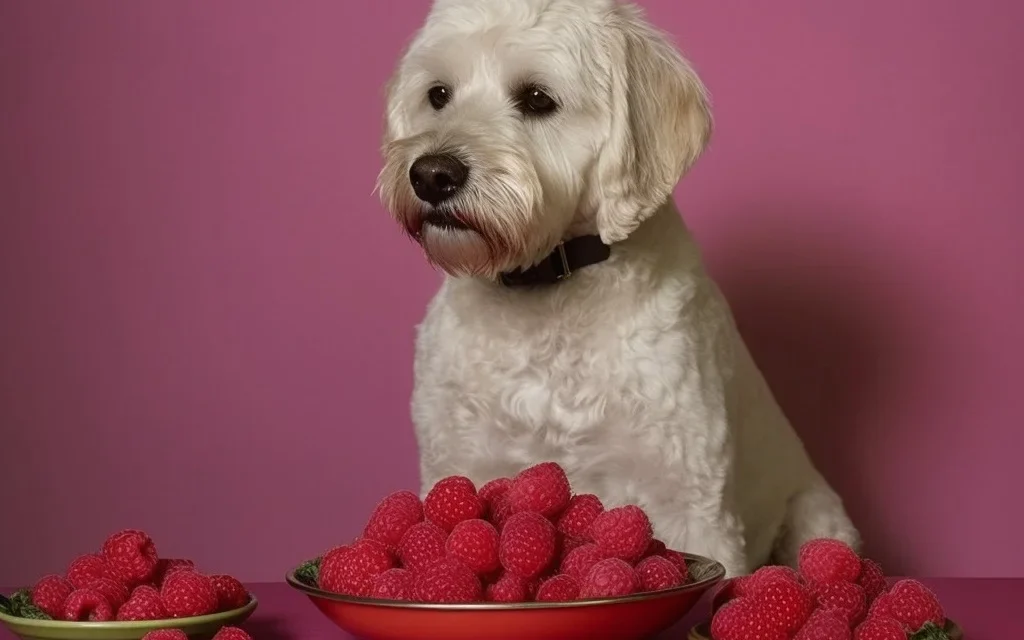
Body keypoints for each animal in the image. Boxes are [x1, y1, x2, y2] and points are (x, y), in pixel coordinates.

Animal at [376, 0, 856, 577]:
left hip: (818, 516)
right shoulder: (460, 464)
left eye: (537, 98)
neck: (549, 293)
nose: (431, 174)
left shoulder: (688, 500)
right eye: (438, 94)